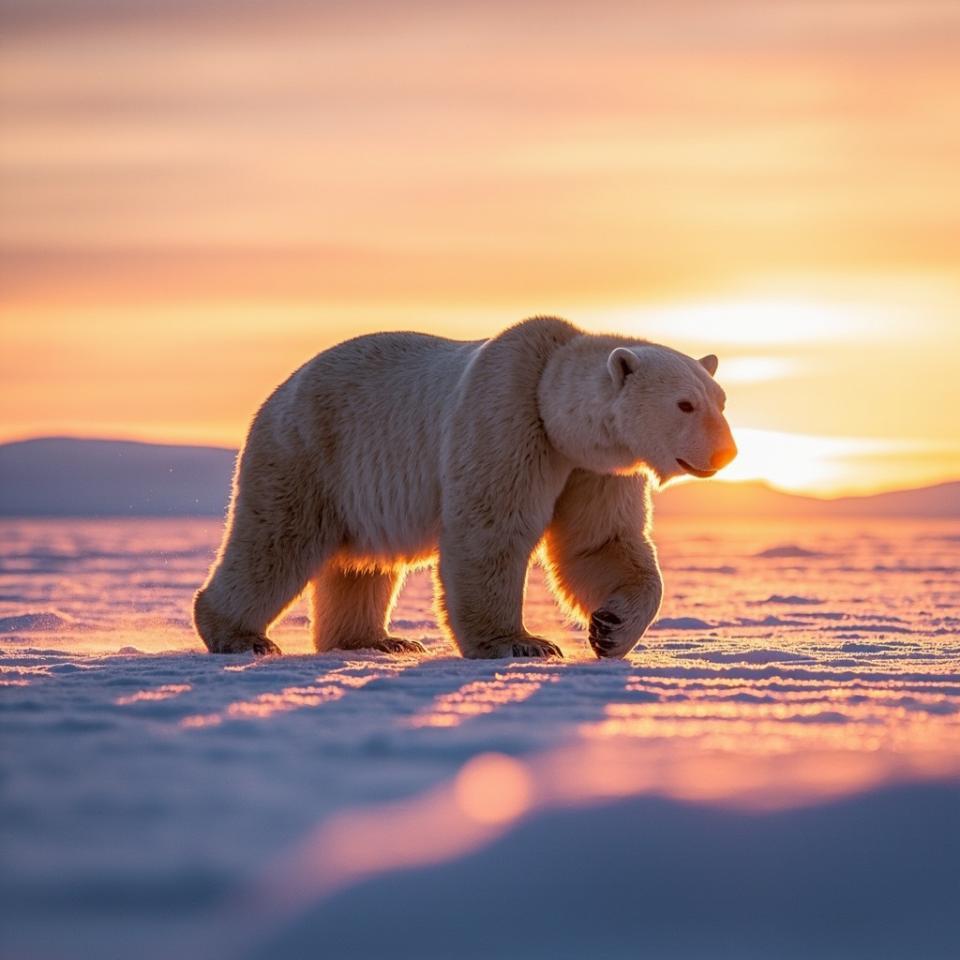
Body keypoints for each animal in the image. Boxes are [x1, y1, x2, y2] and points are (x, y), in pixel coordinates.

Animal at [194, 316, 736, 659]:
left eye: (720, 400)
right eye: (685, 404)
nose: (725, 453)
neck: (550, 401)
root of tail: (281, 389)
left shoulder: (593, 470)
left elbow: (600, 543)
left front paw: (611, 629)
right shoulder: (506, 421)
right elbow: (491, 530)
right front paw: (521, 643)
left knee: (360, 563)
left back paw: (377, 640)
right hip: (310, 452)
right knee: (277, 542)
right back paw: (240, 635)